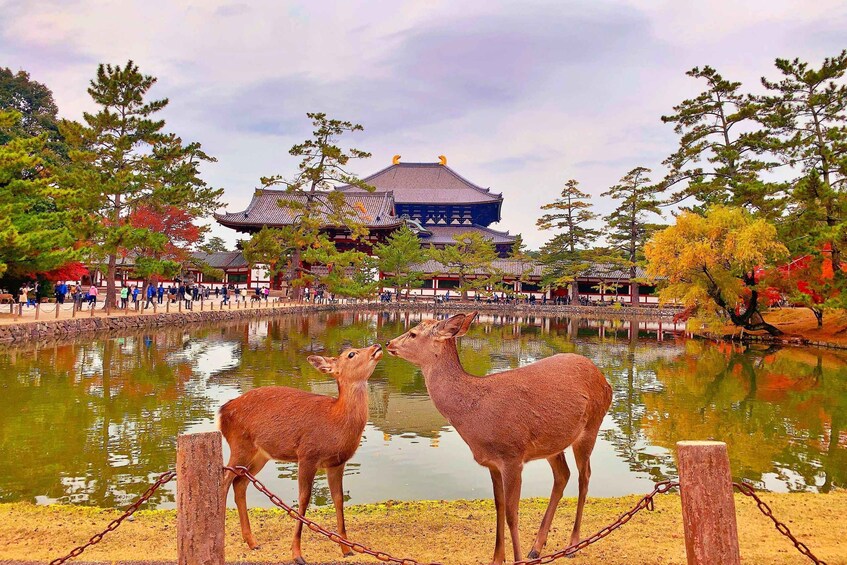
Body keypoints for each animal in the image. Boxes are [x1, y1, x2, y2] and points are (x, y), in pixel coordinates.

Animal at [218, 343, 383, 564]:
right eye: (351, 354)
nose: (377, 345)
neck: (335, 422)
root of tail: (222, 412)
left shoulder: (336, 463)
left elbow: (339, 499)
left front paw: (347, 549)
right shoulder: (307, 455)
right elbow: (303, 499)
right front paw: (297, 553)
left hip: (260, 455)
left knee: (240, 483)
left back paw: (252, 542)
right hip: (239, 445)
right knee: (225, 481)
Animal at [386, 312, 612, 565]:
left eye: (413, 333)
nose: (388, 343)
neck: (475, 414)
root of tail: (606, 382)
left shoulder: (512, 456)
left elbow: (512, 513)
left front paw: (517, 559)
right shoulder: (492, 463)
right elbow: (499, 507)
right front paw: (497, 558)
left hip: (591, 426)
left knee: (585, 477)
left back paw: (573, 544)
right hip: (553, 444)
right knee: (563, 475)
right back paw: (537, 548)